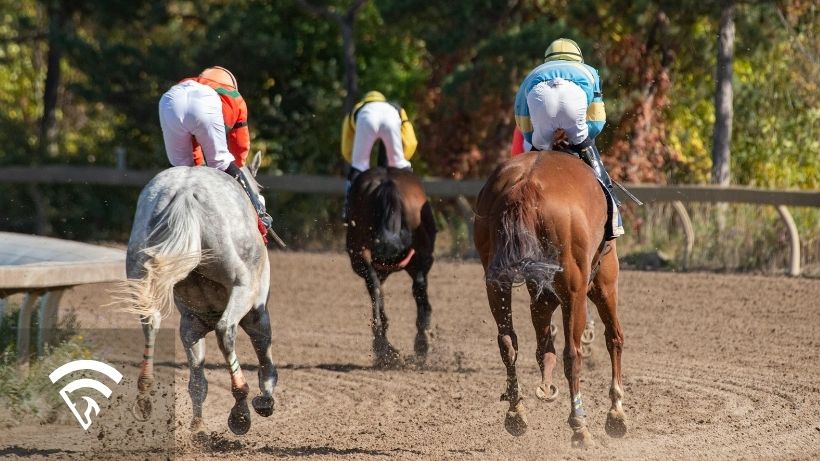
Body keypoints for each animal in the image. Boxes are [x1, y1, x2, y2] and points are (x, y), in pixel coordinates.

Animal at [117, 152, 277, 435]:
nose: (266, 217)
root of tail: (184, 191)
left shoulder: (192, 323)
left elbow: (197, 381)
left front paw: (198, 425)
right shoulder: (257, 313)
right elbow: (264, 354)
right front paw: (265, 399)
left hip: (142, 274)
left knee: (150, 322)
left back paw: (145, 394)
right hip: (243, 290)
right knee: (226, 330)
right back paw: (240, 408)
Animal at [346, 166, 437, 368]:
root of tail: (388, 185)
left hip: (361, 254)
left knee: (375, 289)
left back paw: (383, 346)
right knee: (417, 288)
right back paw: (418, 343)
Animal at [473, 151, 626, 448]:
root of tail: (526, 184)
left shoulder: (542, 295)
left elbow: (543, 347)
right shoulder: (603, 284)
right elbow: (614, 338)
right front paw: (616, 414)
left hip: (497, 282)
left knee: (508, 343)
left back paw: (516, 413)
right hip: (578, 291)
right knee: (574, 354)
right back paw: (579, 425)